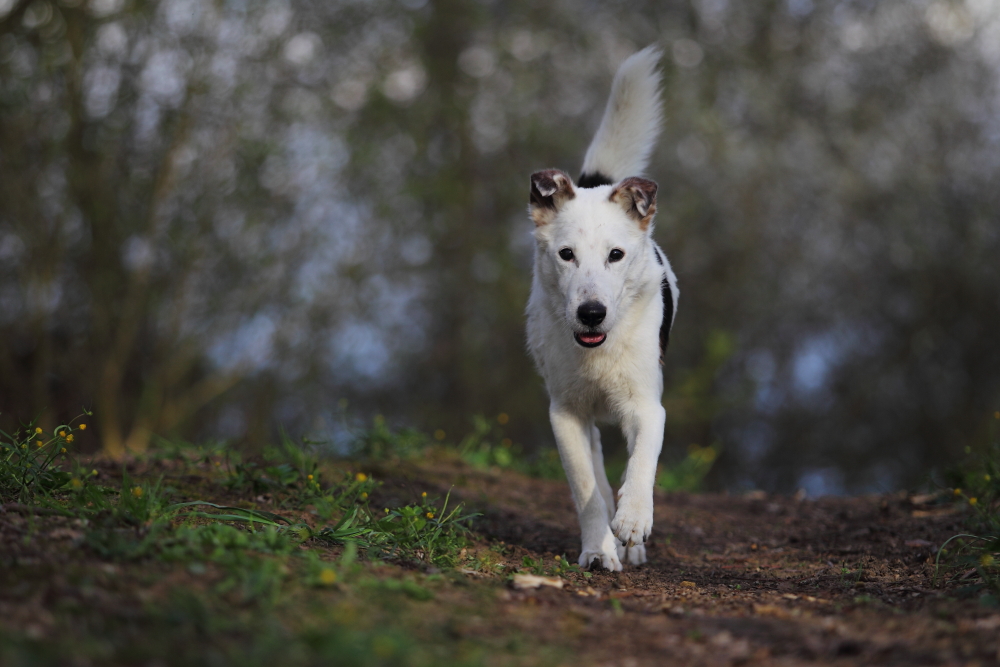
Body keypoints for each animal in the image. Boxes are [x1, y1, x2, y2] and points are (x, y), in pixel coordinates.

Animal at [524, 45, 680, 576]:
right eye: (566, 254)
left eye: (616, 255)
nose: (591, 313)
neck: (599, 350)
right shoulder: (566, 415)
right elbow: (588, 489)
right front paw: (598, 549)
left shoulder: (647, 405)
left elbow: (642, 462)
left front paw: (632, 522)